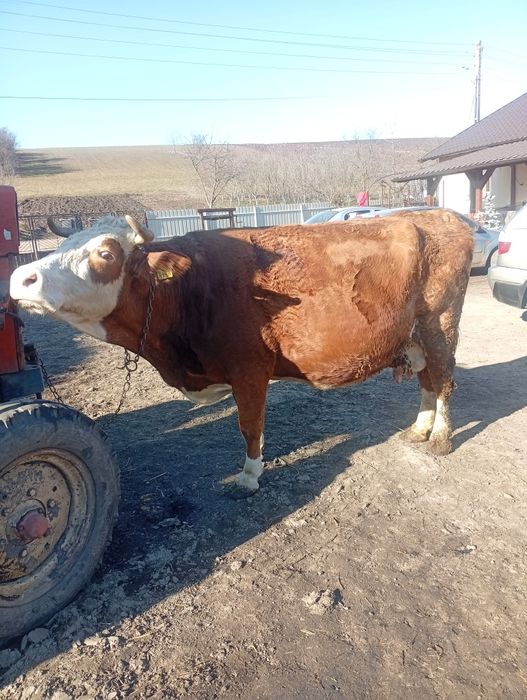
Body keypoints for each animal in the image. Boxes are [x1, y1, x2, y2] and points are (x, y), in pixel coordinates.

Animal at [10, 210, 473, 496]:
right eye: (63, 244)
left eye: (106, 253)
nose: (19, 278)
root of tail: (440, 215)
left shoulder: (249, 369)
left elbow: (249, 427)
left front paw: (249, 476)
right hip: (415, 335)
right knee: (427, 380)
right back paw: (420, 429)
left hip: (440, 325)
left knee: (444, 380)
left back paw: (440, 439)